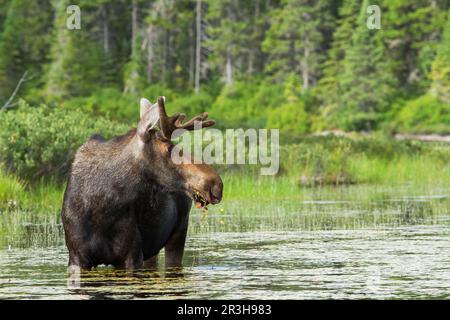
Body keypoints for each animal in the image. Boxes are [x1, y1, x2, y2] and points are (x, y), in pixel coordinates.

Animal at [61, 95, 223, 270]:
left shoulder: (132, 254)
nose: (216, 183)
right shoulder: (76, 257)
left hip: (179, 231)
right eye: (168, 149)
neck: (100, 205)